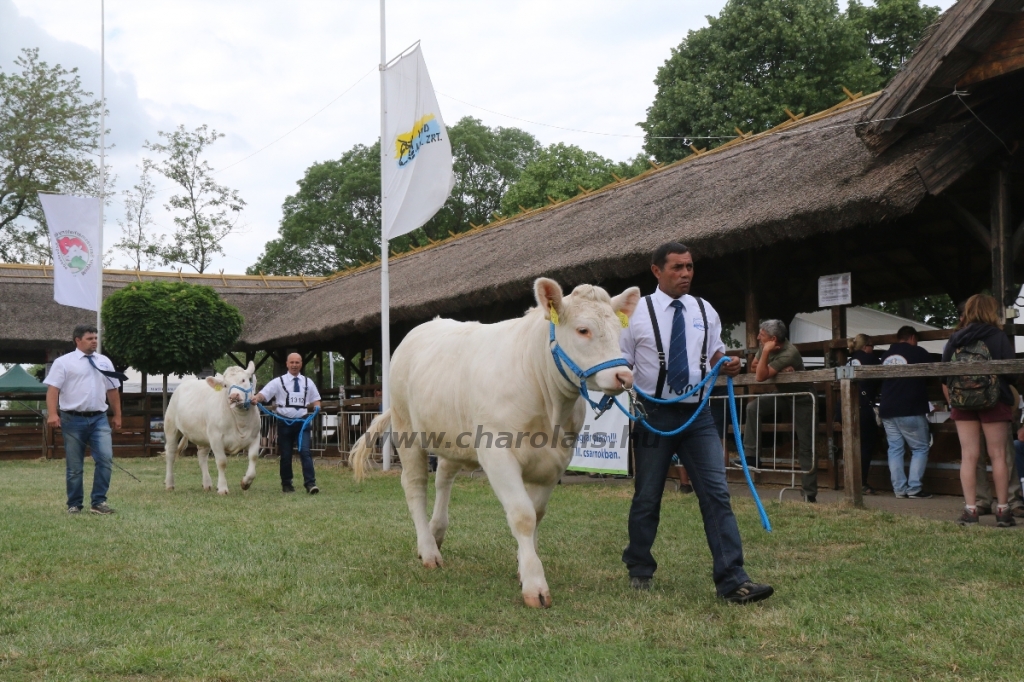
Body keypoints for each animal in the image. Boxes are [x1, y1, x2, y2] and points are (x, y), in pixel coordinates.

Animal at [162, 360, 260, 493]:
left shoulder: (255, 437)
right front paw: (223, 488)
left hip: (203, 435)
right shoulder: (216, 438)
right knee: (171, 454)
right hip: (171, 427)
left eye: (244, 380)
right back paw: (169, 484)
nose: (234, 396)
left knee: (202, 456)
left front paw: (246, 483)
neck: (241, 420)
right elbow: (221, 462)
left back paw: (207, 484)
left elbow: (253, 457)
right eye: (225, 385)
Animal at [354, 276, 638, 606]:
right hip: (406, 429)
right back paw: (428, 549)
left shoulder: (555, 462)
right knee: (415, 486)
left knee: (443, 478)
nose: (624, 377)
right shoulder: (497, 452)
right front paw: (535, 584)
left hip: (452, 434)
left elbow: (537, 514)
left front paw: (524, 565)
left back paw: (437, 532)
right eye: (583, 330)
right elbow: (523, 515)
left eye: (619, 330)